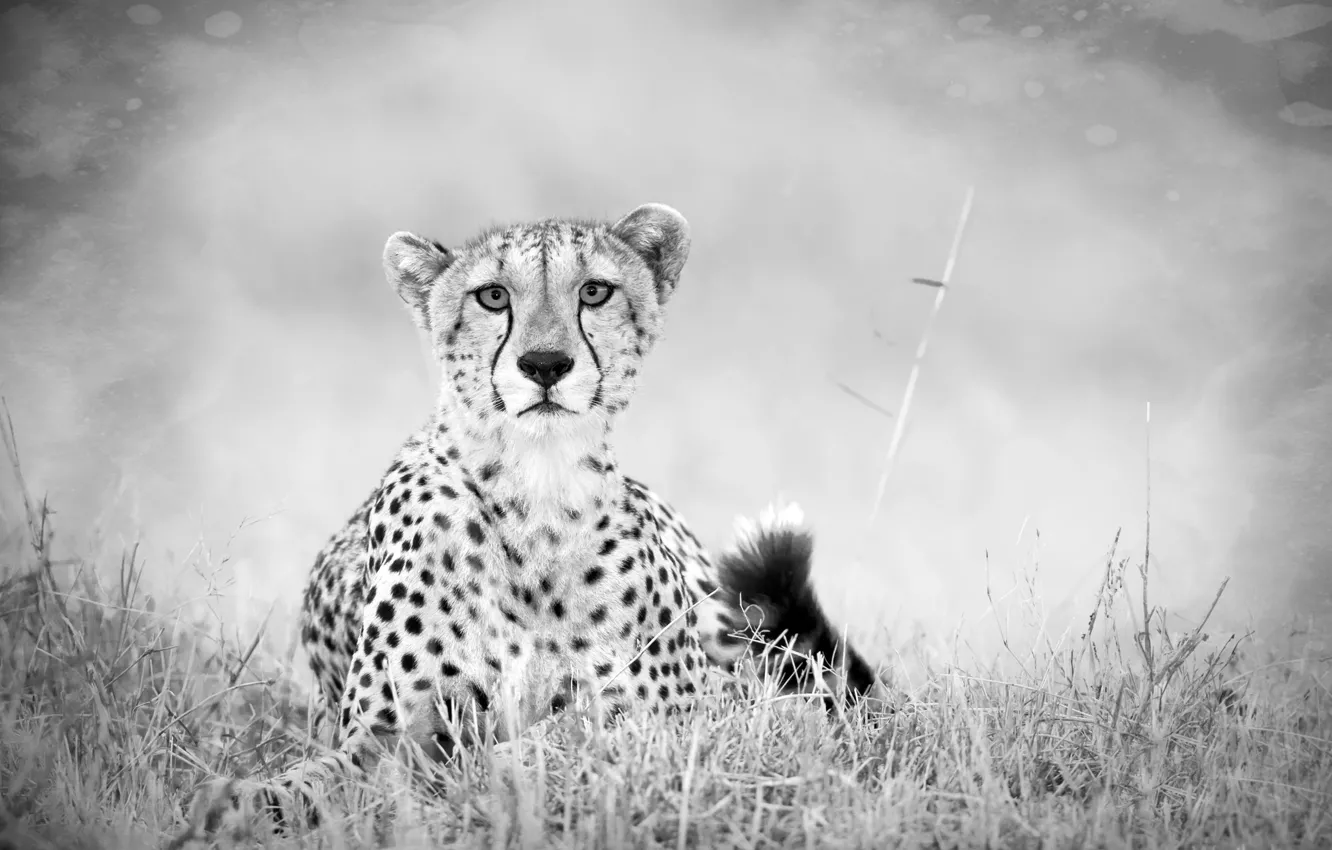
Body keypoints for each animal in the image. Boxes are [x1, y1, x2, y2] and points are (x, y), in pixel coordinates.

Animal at [177, 203, 886, 843]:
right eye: (493, 297)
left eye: (594, 291)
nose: (545, 364)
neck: (538, 487)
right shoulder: (380, 737)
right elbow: (311, 782)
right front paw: (228, 807)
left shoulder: (679, 715)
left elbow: (558, 738)